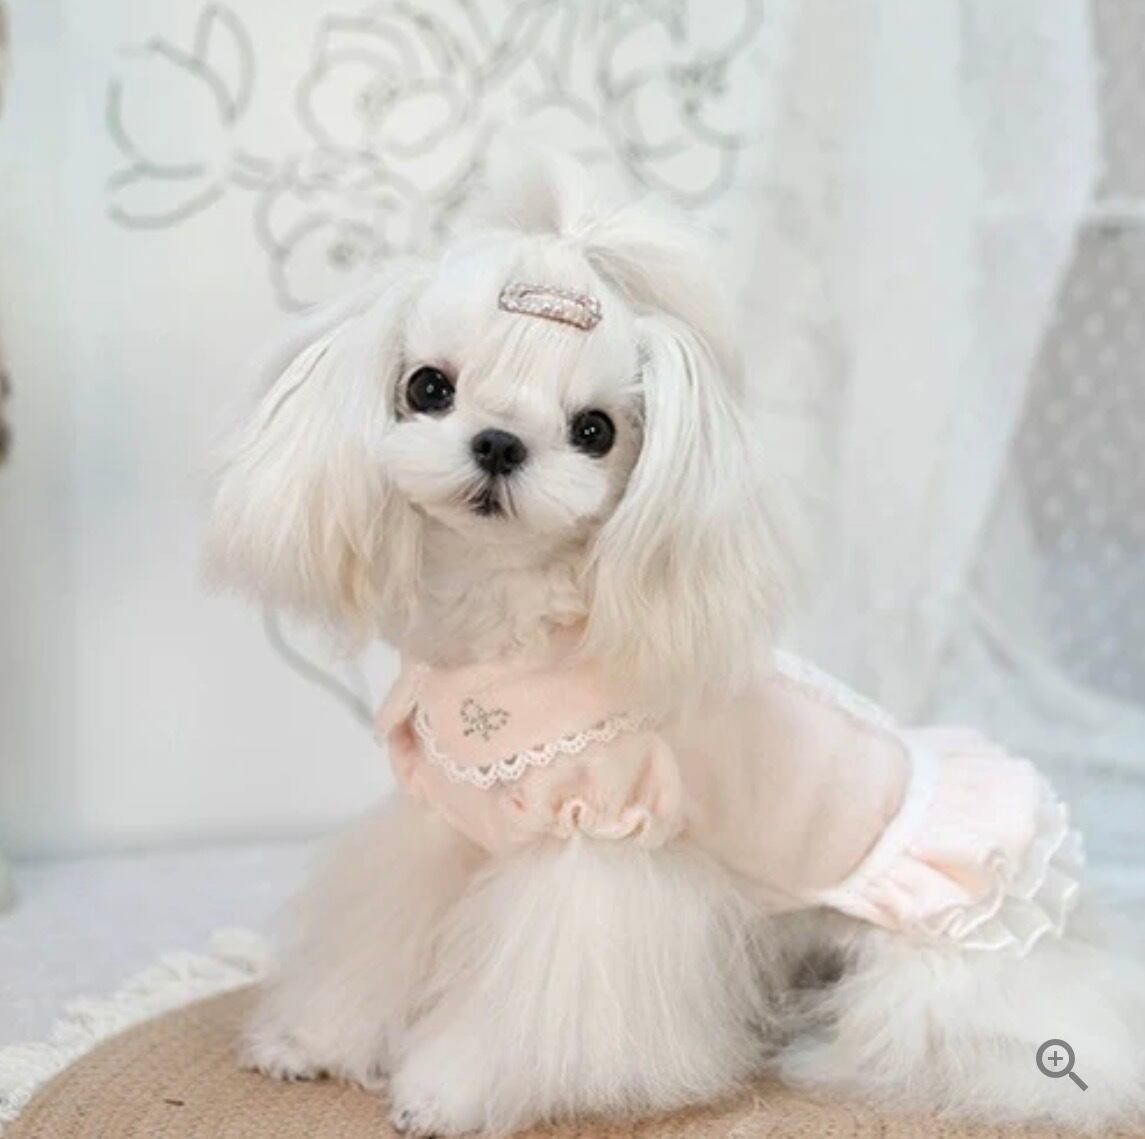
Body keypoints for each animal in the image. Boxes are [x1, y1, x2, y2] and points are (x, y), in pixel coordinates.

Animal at [210, 152, 1145, 1135]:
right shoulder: (444, 827)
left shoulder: (598, 846)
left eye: (594, 430)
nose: (499, 443)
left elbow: (524, 1007)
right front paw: (313, 1037)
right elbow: (375, 941)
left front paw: (449, 1088)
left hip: (937, 966)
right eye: (428, 386)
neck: (510, 633)